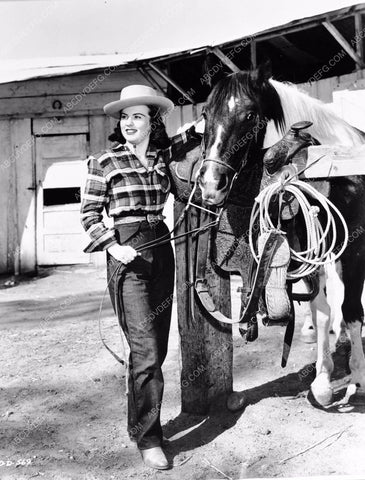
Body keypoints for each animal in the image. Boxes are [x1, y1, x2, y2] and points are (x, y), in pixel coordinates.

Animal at [195, 65, 365, 406]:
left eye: (249, 115)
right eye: (206, 113)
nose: (210, 183)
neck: (335, 167)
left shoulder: (355, 249)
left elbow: (353, 309)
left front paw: (358, 375)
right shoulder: (315, 253)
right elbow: (323, 310)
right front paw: (323, 379)